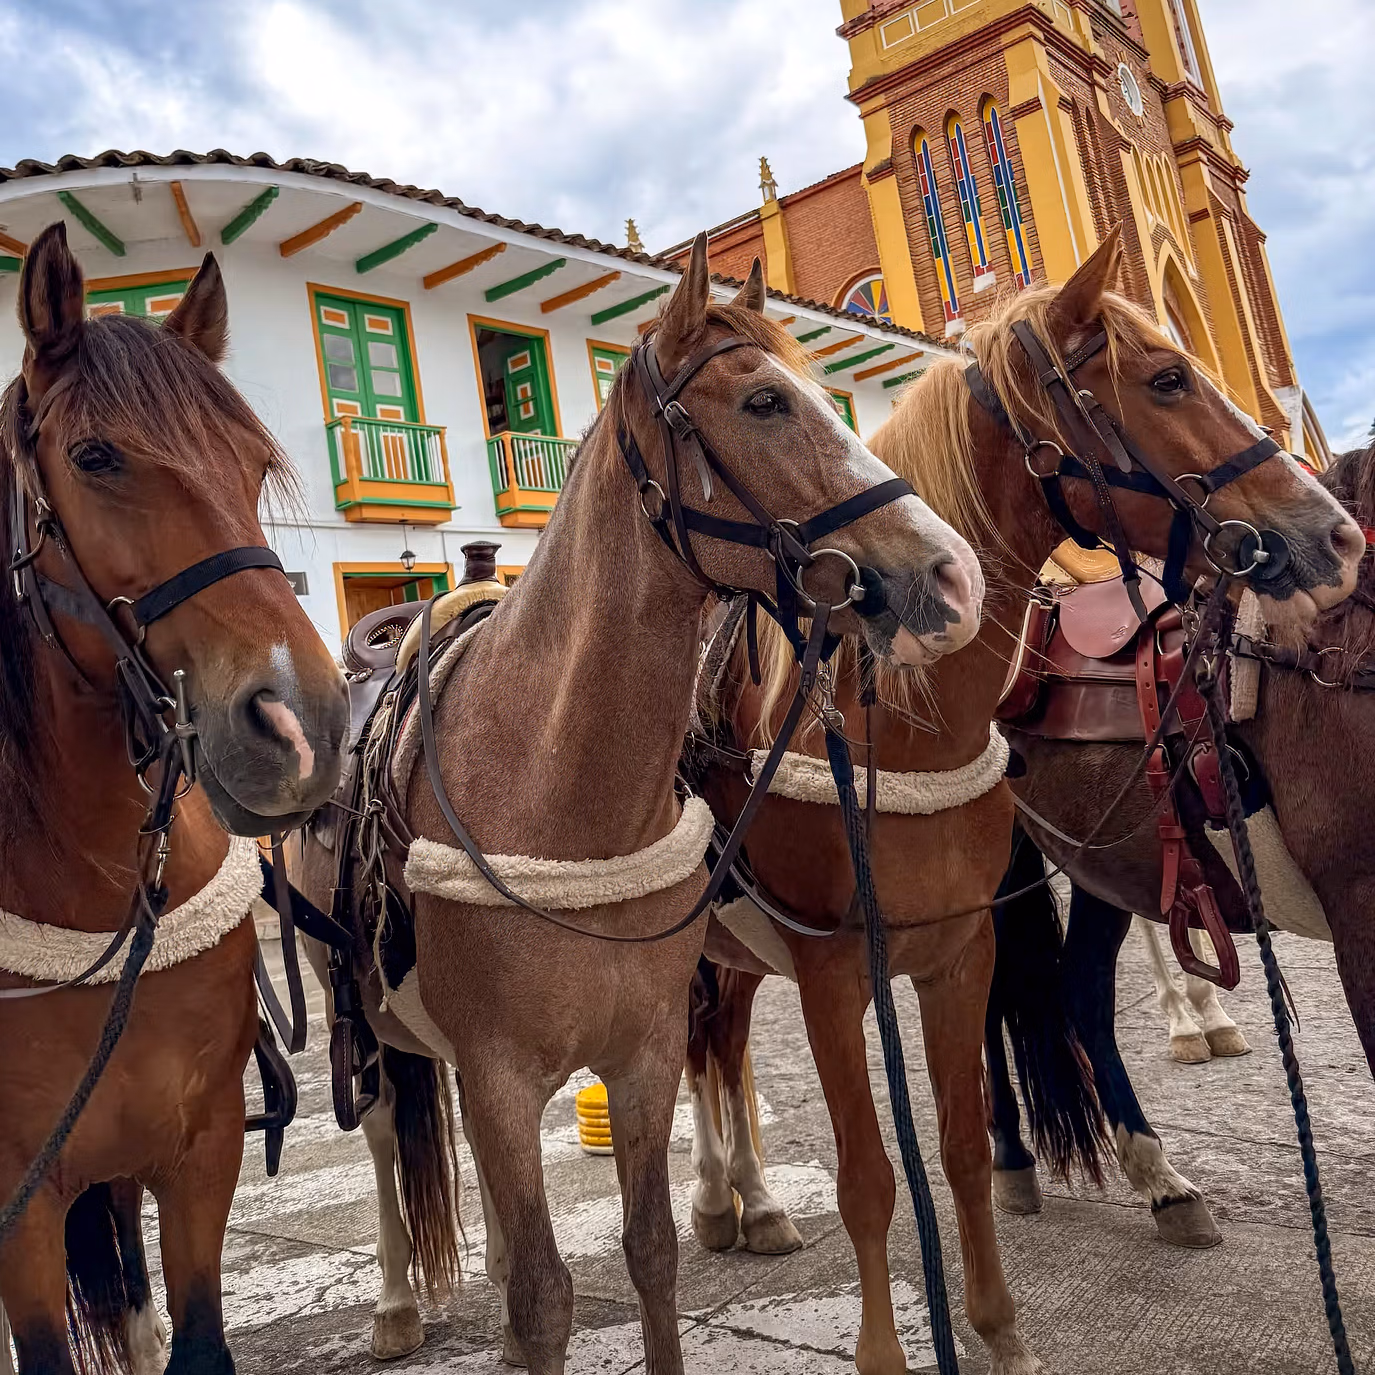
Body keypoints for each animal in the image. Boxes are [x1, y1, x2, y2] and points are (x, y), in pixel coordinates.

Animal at [295, 233, 983, 1375]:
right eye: (763, 402)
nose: (954, 576)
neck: (557, 781)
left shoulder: (644, 1054)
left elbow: (650, 1247)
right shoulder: (498, 1073)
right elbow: (545, 1296)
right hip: (361, 1008)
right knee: (393, 1138)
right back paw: (397, 1303)